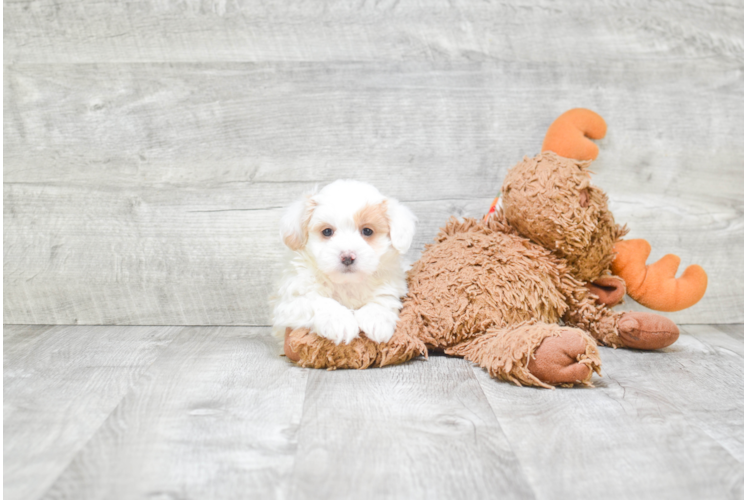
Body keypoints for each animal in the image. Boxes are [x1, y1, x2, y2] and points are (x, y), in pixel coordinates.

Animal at [272, 181, 418, 348]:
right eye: (327, 232)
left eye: (367, 231)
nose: (347, 257)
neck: (346, 283)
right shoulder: (289, 302)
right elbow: (317, 300)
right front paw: (339, 321)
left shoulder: (391, 285)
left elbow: (383, 298)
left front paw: (377, 318)